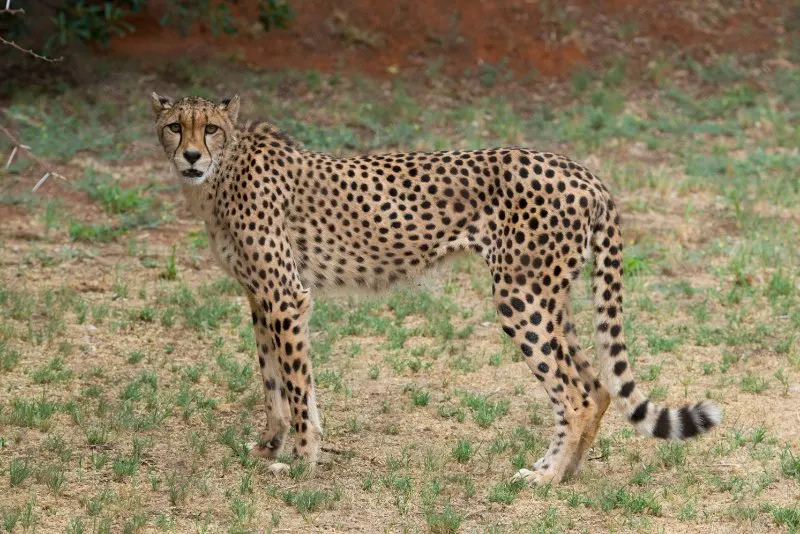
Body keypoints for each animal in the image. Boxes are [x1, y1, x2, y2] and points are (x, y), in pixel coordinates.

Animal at [152, 92, 724, 486]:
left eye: (211, 129)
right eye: (175, 127)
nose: (191, 157)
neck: (222, 174)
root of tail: (583, 171)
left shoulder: (286, 295)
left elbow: (294, 383)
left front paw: (303, 462)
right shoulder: (261, 297)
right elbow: (274, 380)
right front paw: (271, 447)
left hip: (521, 298)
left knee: (577, 393)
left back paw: (546, 478)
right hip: (550, 298)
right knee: (598, 385)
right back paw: (566, 471)